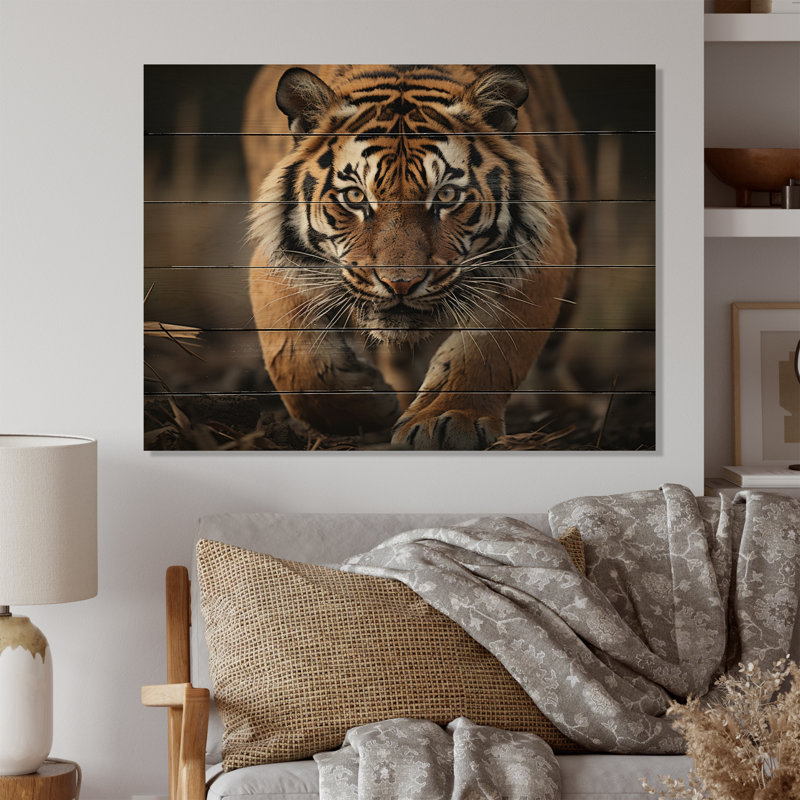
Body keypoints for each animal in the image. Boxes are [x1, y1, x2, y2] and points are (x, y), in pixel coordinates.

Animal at [244, 64, 586, 450]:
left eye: (447, 195)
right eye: (355, 196)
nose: (400, 284)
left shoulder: (541, 249)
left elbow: (491, 350)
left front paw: (448, 419)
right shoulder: (276, 257)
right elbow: (292, 359)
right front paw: (366, 409)